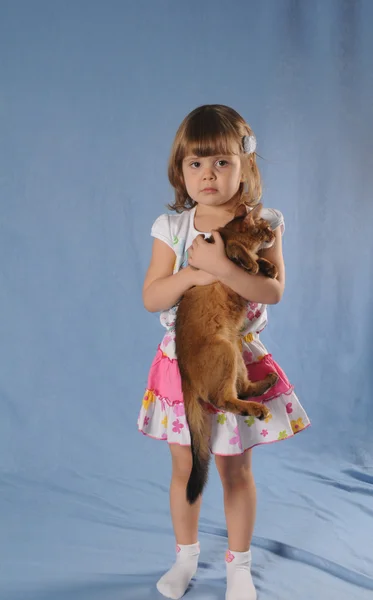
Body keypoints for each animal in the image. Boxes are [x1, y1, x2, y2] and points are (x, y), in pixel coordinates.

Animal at [176, 204, 278, 504]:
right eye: (264, 228)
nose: (273, 235)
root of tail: (184, 374)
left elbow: (259, 259)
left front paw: (268, 266)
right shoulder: (223, 246)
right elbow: (237, 248)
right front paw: (253, 263)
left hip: (235, 350)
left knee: (241, 389)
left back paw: (267, 383)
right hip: (225, 351)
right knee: (223, 399)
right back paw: (257, 408)